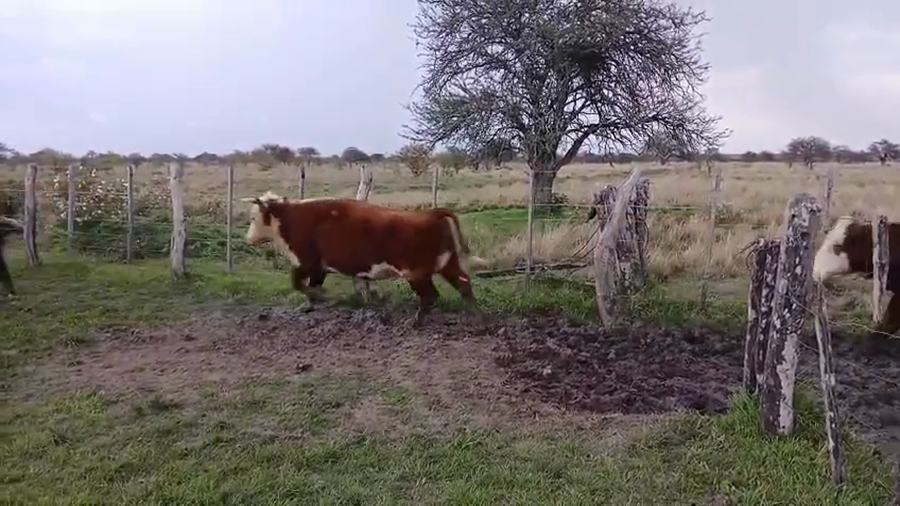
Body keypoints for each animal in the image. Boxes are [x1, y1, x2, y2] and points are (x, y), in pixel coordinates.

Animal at [241, 191, 487, 327]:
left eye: (253, 217)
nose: (248, 239)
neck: (292, 219)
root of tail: (432, 214)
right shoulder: (318, 269)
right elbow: (310, 287)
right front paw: (310, 305)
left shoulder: (307, 263)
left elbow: (299, 284)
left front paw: (320, 297)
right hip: (448, 266)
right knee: (464, 286)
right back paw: (479, 319)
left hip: (416, 274)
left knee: (431, 296)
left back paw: (415, 322)